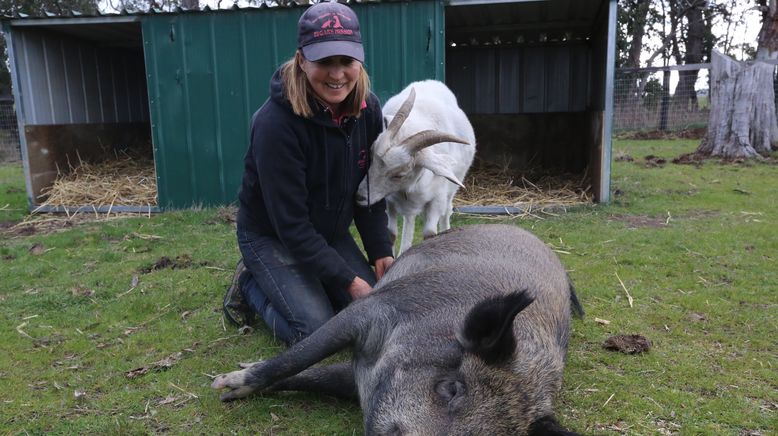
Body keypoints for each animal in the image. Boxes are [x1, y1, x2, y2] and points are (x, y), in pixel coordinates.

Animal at [212, 223, 584, 434]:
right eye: (452, 388)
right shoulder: (373, 309)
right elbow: (300, 358)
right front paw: (224, 386)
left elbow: (313, 375)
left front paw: (227, 393)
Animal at [356, 79, 476, 255]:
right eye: (371, 155)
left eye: (399, 174)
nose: (360, 197)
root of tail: (432, 82)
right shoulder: (389, 200)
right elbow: (391, 233)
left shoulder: (437, 198)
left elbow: (430, 234)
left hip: (451, 189)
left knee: (446, 212)